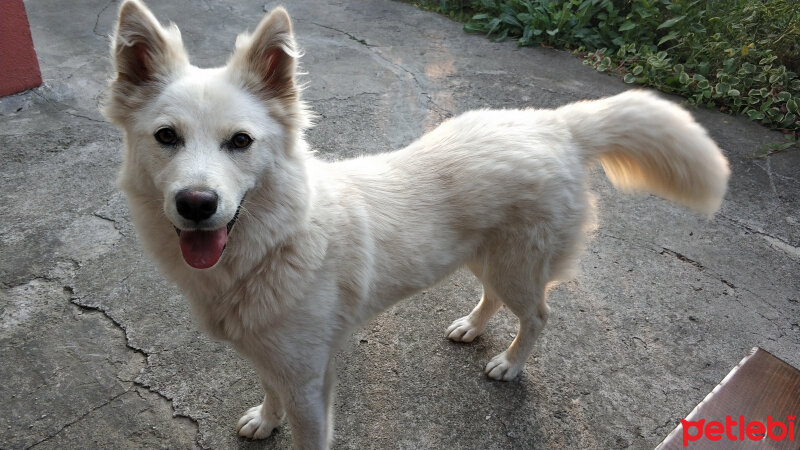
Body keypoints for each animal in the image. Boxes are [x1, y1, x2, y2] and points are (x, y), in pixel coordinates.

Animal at [103, 1, 728, 448]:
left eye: (240, 141)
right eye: (166, 137)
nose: (197, 203)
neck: (278, 241)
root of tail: (556, 124)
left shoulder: (310, 381)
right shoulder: (272, 357)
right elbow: (267, 391)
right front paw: (265, 419)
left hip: (519, 264)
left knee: (538, 316)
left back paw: (510, 363)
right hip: (483, 255)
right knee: (492, 297)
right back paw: (473, 327)